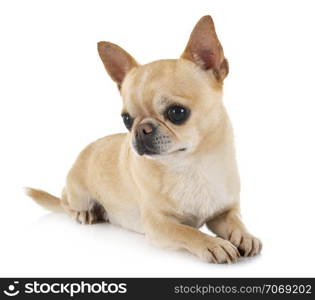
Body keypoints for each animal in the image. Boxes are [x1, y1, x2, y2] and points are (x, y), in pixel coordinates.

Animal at [26, 15, 262, 262]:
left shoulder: (223, 211)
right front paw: (213, 243)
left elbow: (236, 220)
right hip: (77, 194)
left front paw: (245, 235)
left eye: (177, 112)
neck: (190, 166)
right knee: (64, 202)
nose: (141, 129)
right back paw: (85, 213)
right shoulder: (158, 224)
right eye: (126, 119)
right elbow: (188, 231)